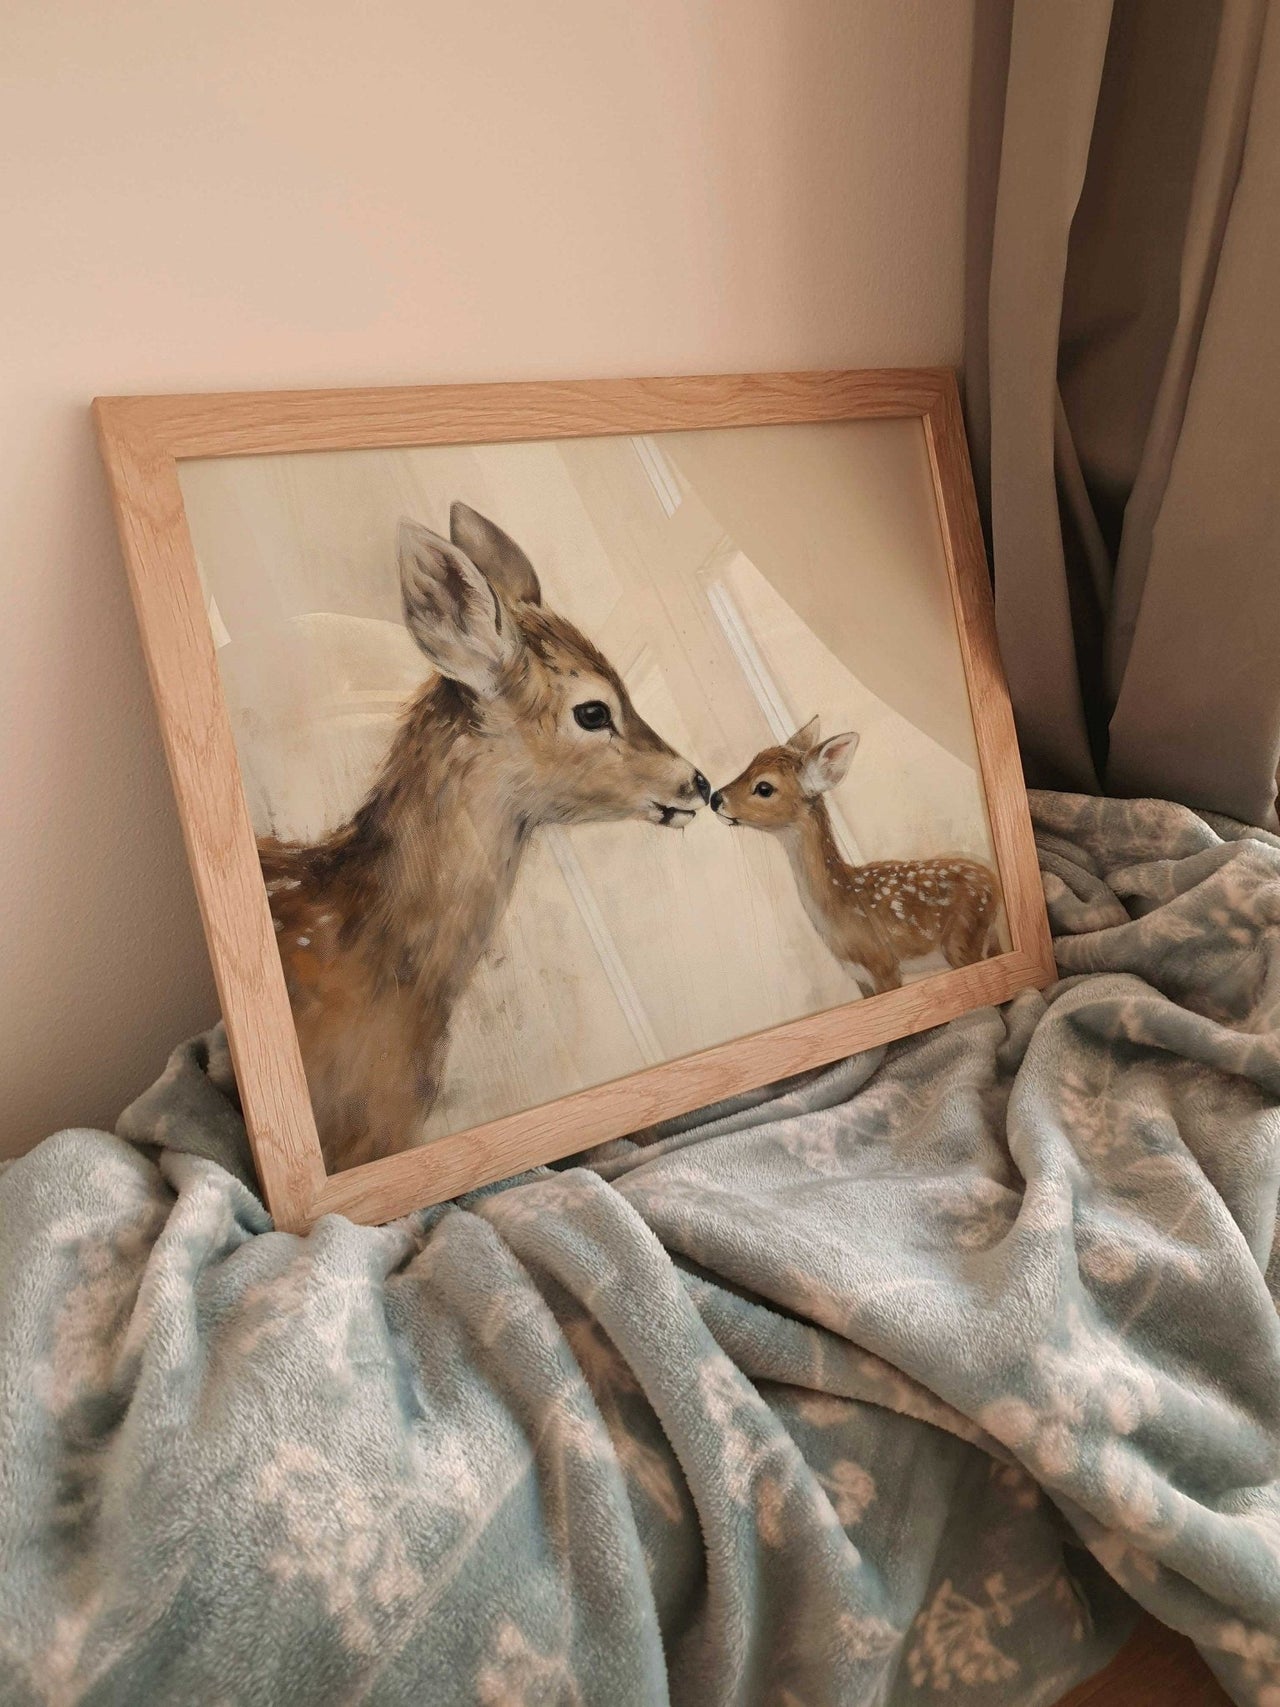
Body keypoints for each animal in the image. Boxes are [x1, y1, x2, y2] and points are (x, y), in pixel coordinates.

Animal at [710, 717, 998, 997]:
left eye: (764, 787)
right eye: (752, 761)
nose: (715, 798)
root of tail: (994, 882)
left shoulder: (884, 965)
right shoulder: (858, 977)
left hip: (962, 940)